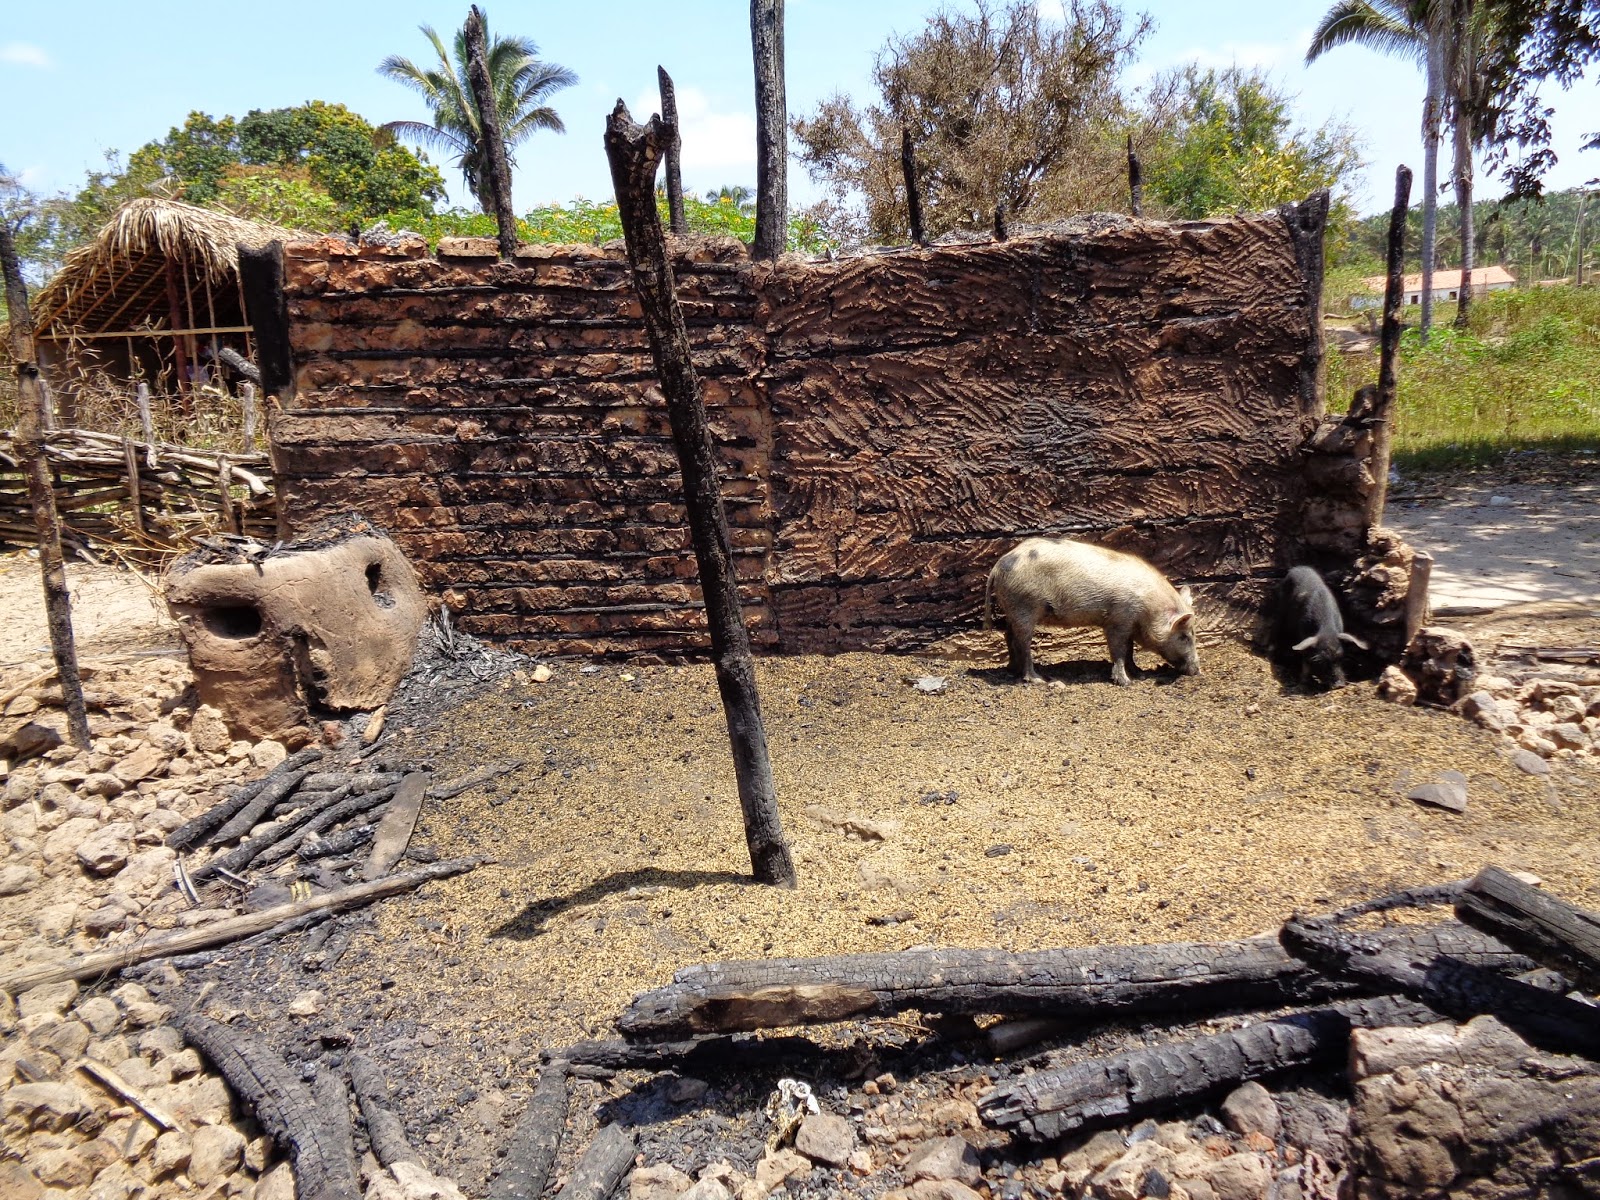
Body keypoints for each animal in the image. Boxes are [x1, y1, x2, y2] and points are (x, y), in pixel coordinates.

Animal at [979, 540, 1196, 691]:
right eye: (1184, 636)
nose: (1197, 671)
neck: (1148, 609)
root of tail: (998, 566)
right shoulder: (1117, 620)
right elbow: (1119, 650)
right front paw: (1126, 683)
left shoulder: (1128, 624)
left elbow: (1130, 650)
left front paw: (1139, 675)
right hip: (1024, 607)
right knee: (1022, 642)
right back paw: (1038, 679)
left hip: (1013, 608)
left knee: (1009, 635)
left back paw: (1012, 669)